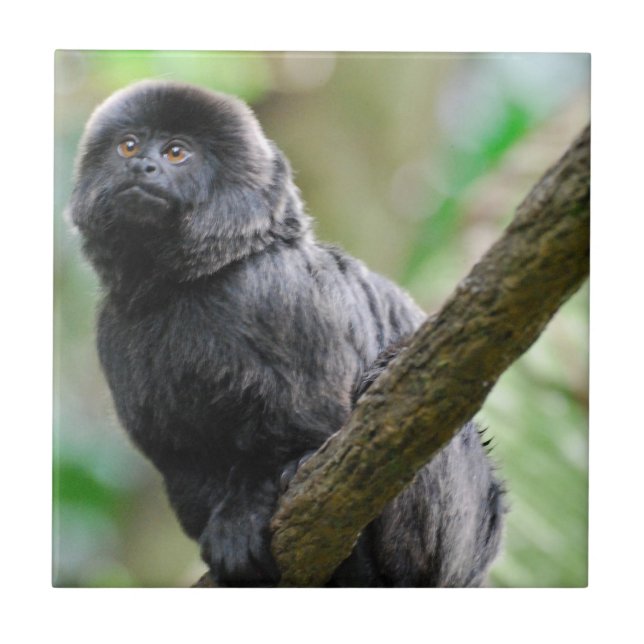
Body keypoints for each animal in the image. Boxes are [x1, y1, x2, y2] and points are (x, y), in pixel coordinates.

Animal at [68, 80, 505, 586]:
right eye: (129, 145)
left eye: (177, 152)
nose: (142, 166)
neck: (190, 285)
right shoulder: (114, 331)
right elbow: (181, 458)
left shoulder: (276, 293)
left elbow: (314, 425)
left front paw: (250, 509)